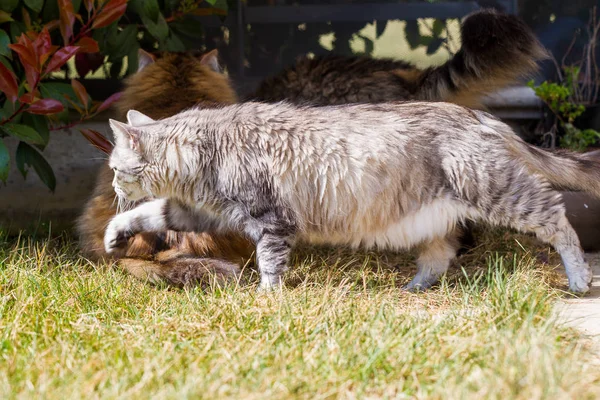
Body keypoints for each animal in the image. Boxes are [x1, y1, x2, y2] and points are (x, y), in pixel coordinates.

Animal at [104, 101, 600, 292]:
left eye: (113, 169)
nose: (110, 186)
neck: (207, 148)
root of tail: (479, 115)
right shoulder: (204, 211)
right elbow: (152, 212)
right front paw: (115, 232)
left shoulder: (271, 219)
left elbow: (269, 262)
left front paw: (266, 296)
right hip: (432, 214)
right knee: (440, 254)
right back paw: (414, 287)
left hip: (500, 191)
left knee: (559, 220)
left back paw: (578, 278)